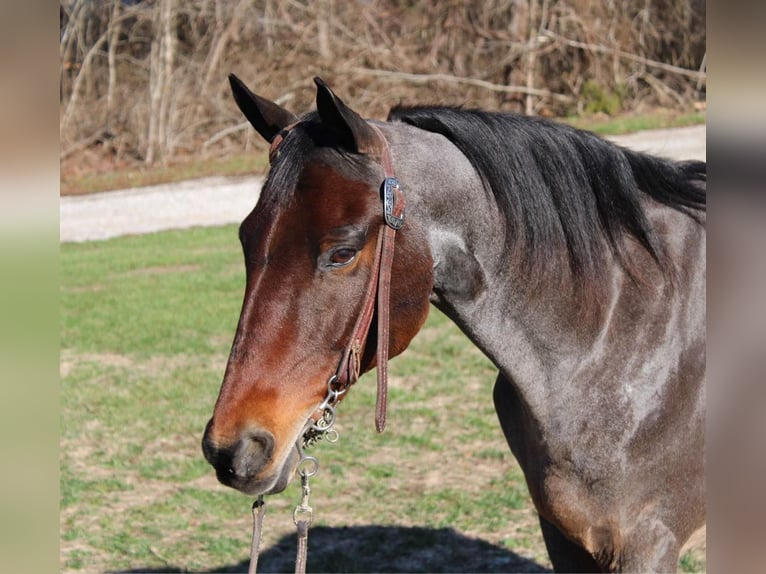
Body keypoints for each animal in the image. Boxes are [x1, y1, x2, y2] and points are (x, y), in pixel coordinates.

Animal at [204, 76, 708, 574]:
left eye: (342, 252)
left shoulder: (647, 543)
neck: (614, 338)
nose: (230, 450)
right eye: (246, 239)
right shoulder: (563, 537)